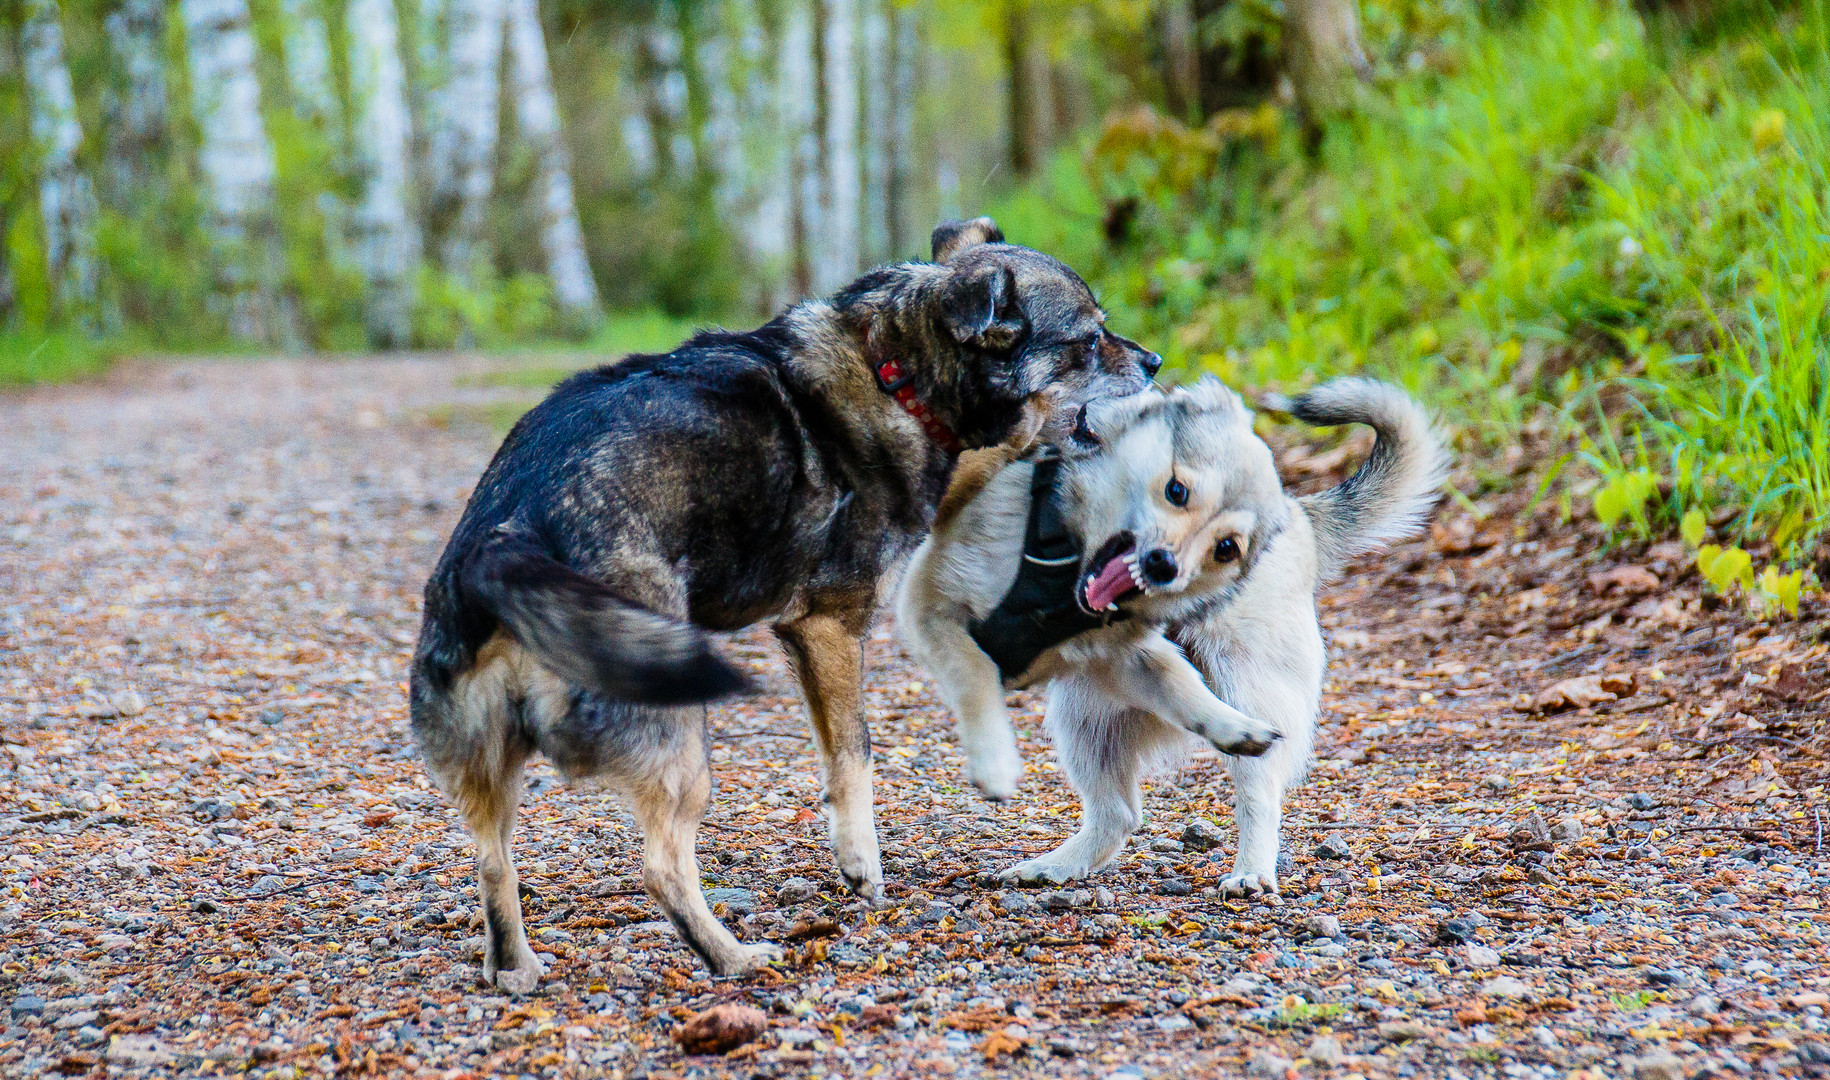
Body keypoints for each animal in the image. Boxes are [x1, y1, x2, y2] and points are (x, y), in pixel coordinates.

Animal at [896, 380, 1442, 896]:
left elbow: (1186, 693)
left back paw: (1251, 870)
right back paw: (1056, 866)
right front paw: (994, 757)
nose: (1164, 566)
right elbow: (976, 674)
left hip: (1247, 683)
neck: (1062, 577)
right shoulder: (934, 611)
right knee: (1118, 814)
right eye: (1176, 491)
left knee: (1256, 796)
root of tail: (1301, 513)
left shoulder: (1130, 657)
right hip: (1082, 718)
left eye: (1226, 548)